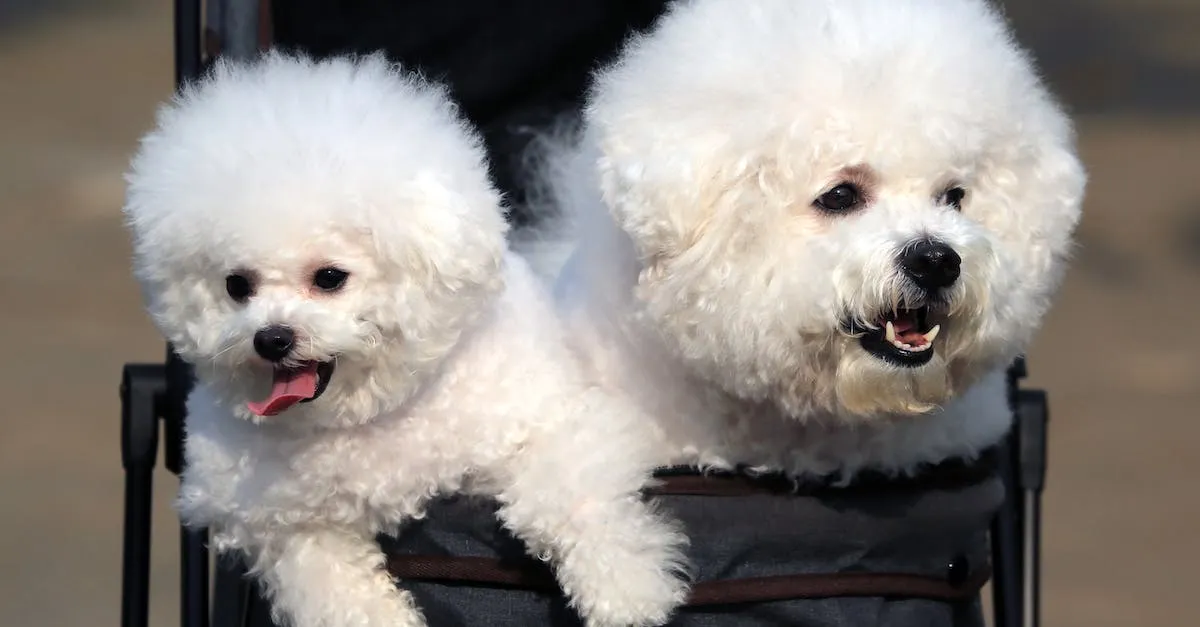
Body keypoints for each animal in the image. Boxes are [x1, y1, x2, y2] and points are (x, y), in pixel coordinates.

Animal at [123, 52, 691, 624]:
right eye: (237, 286)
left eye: (329, 277)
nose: (272, 338)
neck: (369, 415)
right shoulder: (285, 523)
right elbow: (329, 582)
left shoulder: (547, 420)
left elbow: (571, 498)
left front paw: (625, 589)